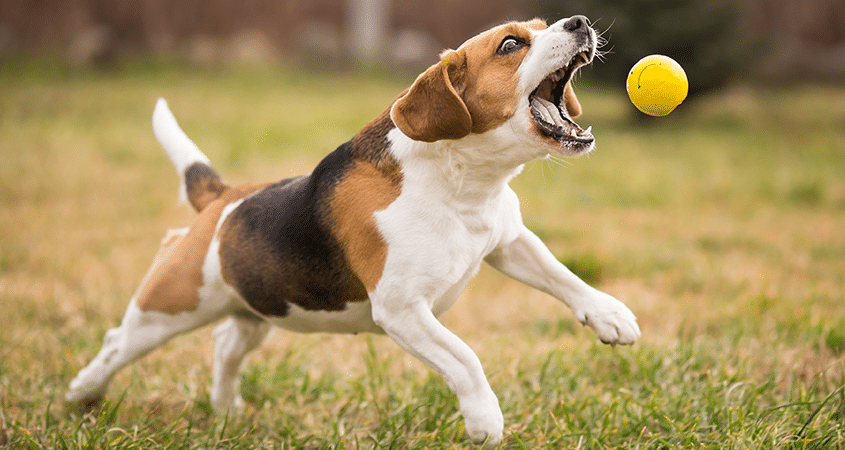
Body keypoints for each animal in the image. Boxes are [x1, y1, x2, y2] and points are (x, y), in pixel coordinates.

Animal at [67, 15, 640, 448]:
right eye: (511, 45)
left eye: (545, 27)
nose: (579, 21)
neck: (462, 182)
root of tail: (224, 199)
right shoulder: (403, 310)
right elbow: (465, 358)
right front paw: (485, 419)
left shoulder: (508, 241)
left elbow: (563, 277)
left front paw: (611, 316)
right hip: (168, 307)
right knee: (118, 342)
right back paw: (81, 396)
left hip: (259, 307)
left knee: (227, 341)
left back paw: (226, 409)